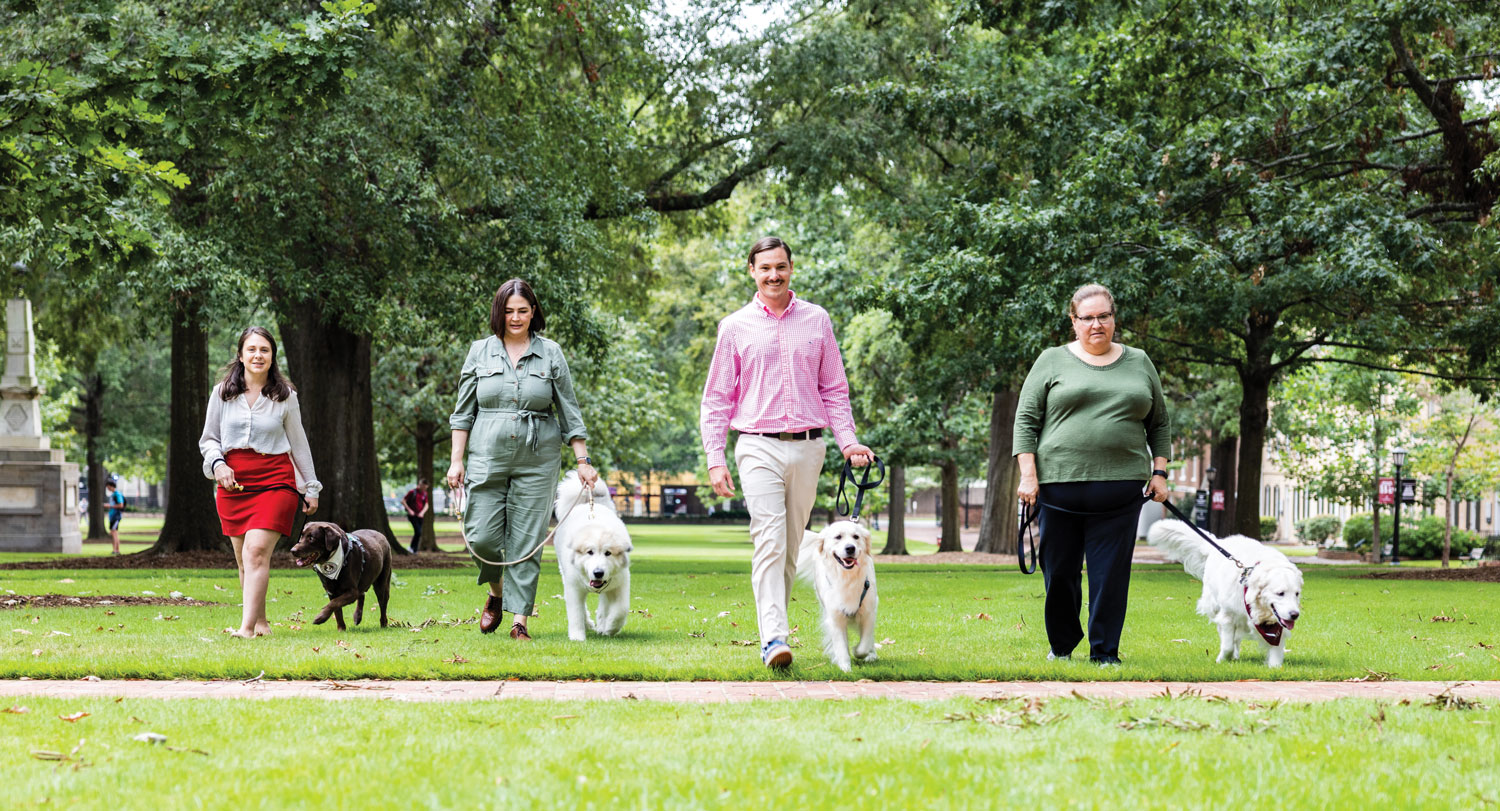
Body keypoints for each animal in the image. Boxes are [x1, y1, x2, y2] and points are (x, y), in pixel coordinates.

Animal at [555, 470, 630, 641]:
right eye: (589, 552)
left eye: (608, 553)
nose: (598, 573)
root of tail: (584, 504)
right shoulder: (574, 588)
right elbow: (576, 613)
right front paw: (577, 637)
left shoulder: (620, 584)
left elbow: (621, 610)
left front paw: (609, 627)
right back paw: (589, 624)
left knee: (604, 605)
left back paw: (602, 624)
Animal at [798, 518, 876, 671]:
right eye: (838, 537)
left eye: (856, 537)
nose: (850, 548)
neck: (847, 578)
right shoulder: (835, 617)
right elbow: (841, 646)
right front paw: (845, 668)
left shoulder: (869, 613)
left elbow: (864, 644)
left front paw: (859, 651)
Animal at [1146, 518, 1302, 662]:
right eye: (1280, 593)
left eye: (1297, 594)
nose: (1295, 615)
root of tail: (1219, 543)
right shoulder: (1228, 616)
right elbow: (1227, 645)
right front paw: (1222, 660)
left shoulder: (1278, 626)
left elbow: (1276, 651)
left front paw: (1275, 667)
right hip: (1216, 606)